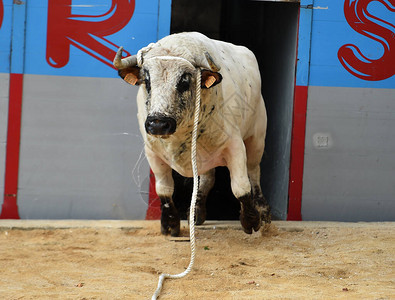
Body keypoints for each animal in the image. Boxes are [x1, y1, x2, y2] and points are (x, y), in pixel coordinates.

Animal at [113, 31, 270, 236]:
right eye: (147, 81)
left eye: (184, 81)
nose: (158, 124)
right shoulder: (152, 152)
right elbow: (164, 189)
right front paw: (170, 224)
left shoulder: (235, 145)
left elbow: (241, 187)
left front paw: (251, 220)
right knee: (207, 178)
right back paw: (196, 212)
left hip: (256, 138)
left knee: (253, 173)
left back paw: (264, 211)